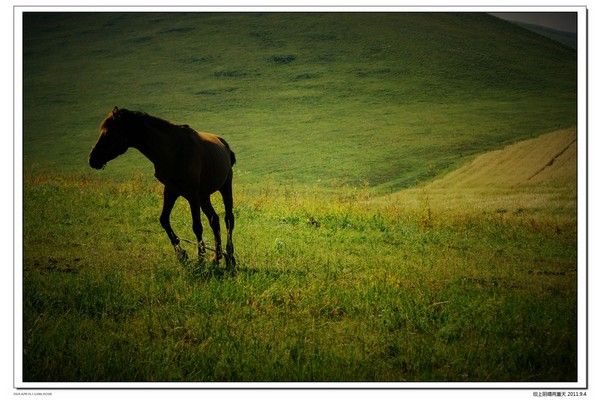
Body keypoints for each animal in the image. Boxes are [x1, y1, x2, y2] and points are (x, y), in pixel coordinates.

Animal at [89, 106, 237, 268]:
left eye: (108, 133)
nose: (92, 159)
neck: (173, 150)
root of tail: (224, 145)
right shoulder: (171, 191)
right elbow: (164, 220)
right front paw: (181, 253)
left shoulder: (192, 195)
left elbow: (197, 226)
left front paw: (200, 258)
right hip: (203, 196)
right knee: (214, 220)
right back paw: (217, 257)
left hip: (224, 188)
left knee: (228, 219)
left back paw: (230, 256)